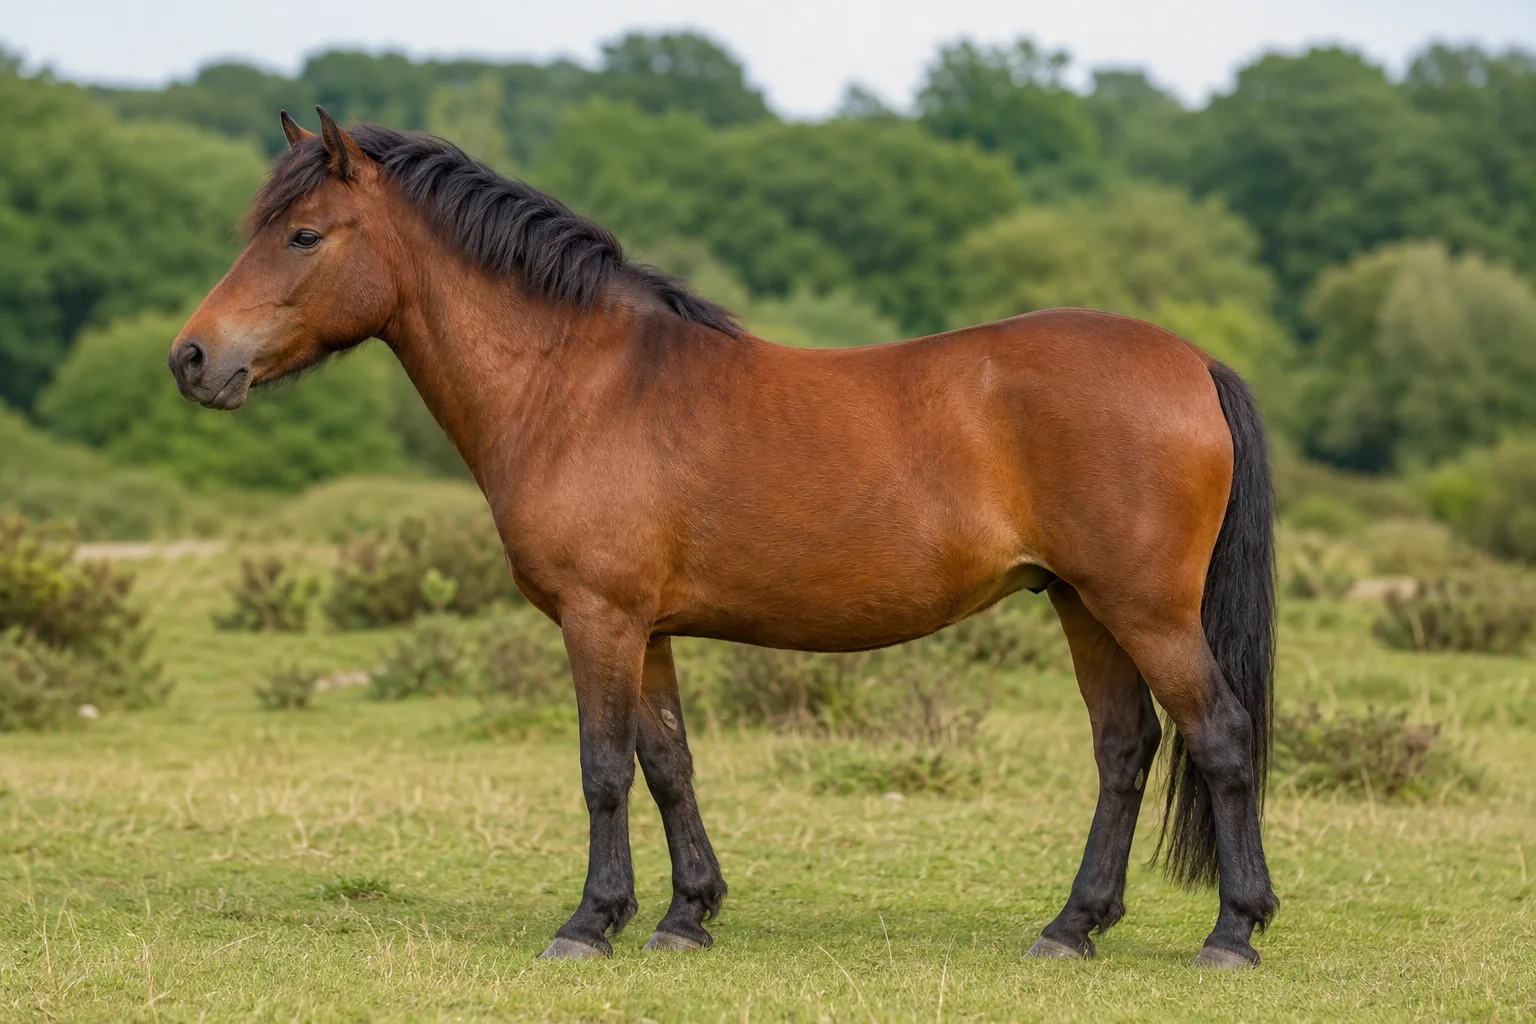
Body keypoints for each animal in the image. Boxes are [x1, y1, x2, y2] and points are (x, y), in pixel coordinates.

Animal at [169, 107, 1278, 967]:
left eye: (303, 235)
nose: (191, 358)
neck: (579, 384)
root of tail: (1192, 360)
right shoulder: (647, 629)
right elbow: (669, 763)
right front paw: (685, 916)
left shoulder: (599, 620)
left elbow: (603, 768)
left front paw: (590, 923)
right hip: (1085, 605)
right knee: (1125, 748)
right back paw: (1071, 927)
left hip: (1146, 609)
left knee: (1220, 736)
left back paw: (1232, 931)